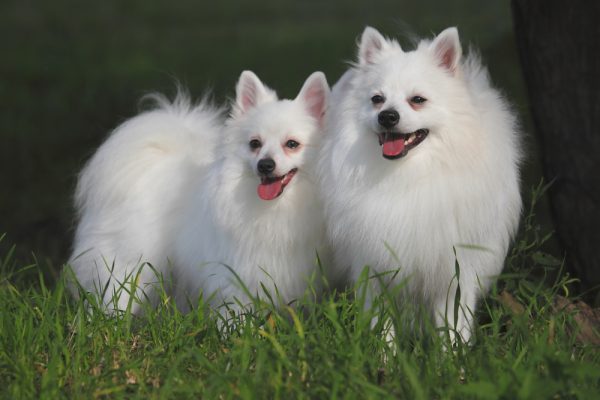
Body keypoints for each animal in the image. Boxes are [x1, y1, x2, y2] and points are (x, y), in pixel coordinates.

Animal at [68, 72, 330, 316]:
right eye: (254, 144)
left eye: (292, 144)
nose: (265, 165)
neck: (277, 207)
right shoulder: (236, 279)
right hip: (130, 265)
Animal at [322, 26, 524, 342]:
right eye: (377, 99)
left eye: (418, 100)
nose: (387, 116)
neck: (407, 174)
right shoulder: (375, 267)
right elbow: (382, 326)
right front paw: (385, 355)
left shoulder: (455, 271)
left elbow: (453, 326)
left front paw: (453, 355)